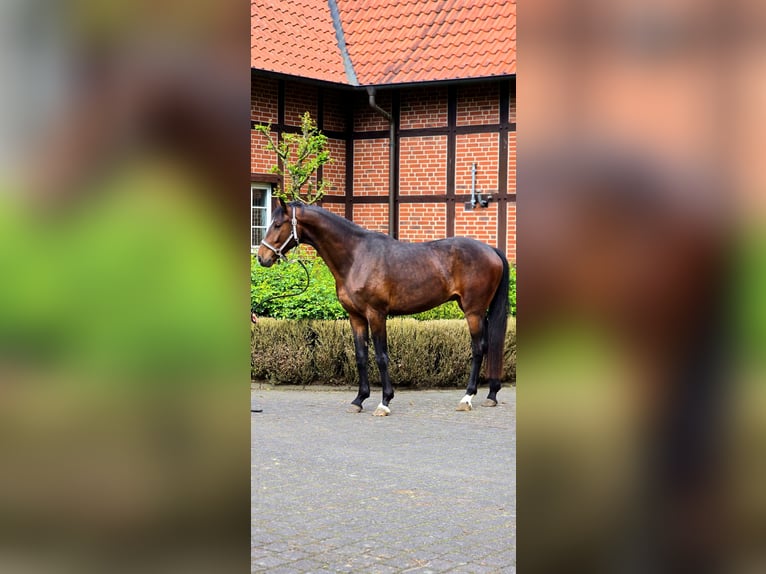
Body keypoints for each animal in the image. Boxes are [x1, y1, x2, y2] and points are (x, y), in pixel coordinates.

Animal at [257, 199, 510, 416]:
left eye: (278, 224)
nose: (262, 257)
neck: (356, 257)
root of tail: (491, 250)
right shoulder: (356, 317)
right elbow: (360, 356)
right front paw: (359, 400)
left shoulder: (376, 314)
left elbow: (381, 356)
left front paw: (384, 402)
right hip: (480, 312)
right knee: (490, 346)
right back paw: (491, 395)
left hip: (473, 311)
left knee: (479, 348)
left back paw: (467, 398)